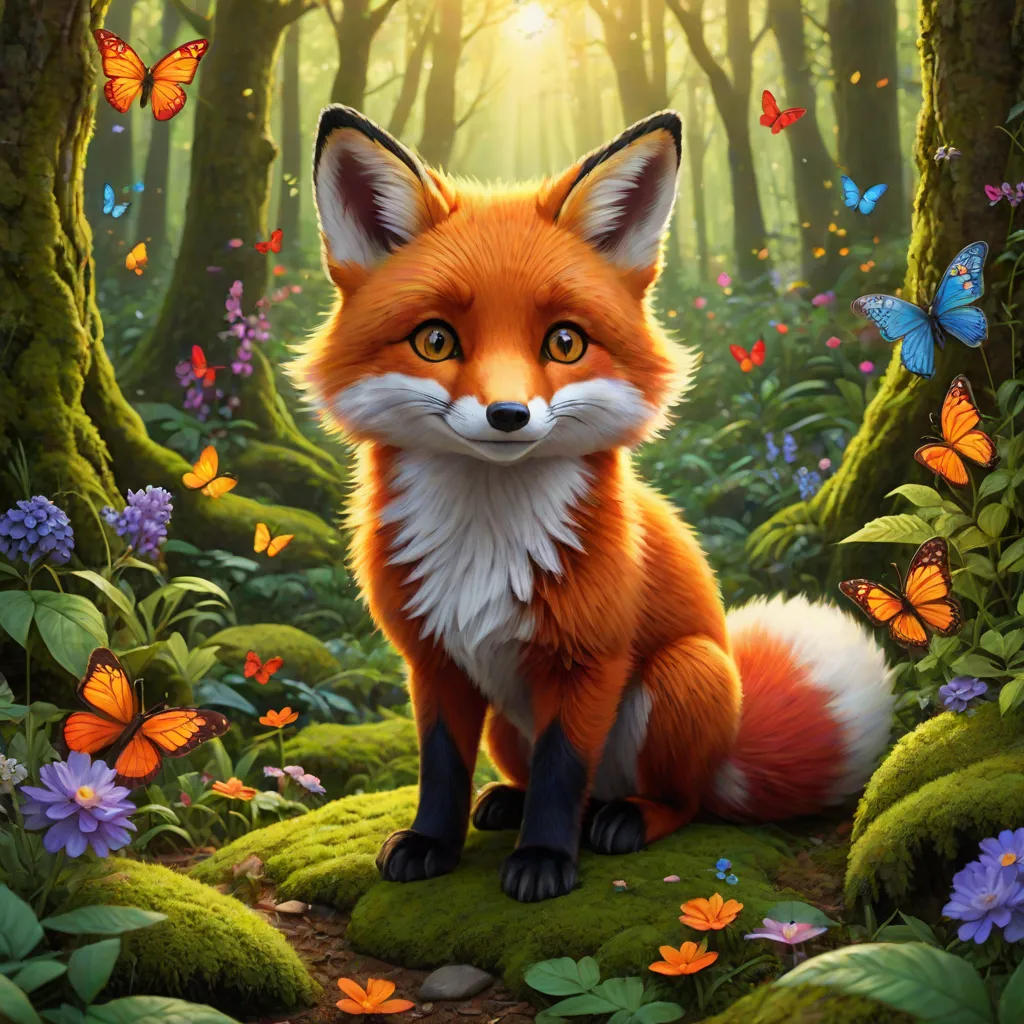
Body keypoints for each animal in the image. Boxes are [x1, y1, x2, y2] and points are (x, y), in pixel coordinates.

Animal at [291, 104, 895, 903]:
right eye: (436, 340)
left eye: (565, 343)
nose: (508, 415)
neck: (486, 541)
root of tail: (730, 744)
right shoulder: (435, 660)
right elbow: (442, 769)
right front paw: (432, 844)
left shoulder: (591, 659)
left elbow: (562, 770)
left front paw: (545, 861)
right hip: (506, 722)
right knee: (539, 779)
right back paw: (506, 803)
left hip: (684, 675)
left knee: (676, 800)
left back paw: (624, 819)